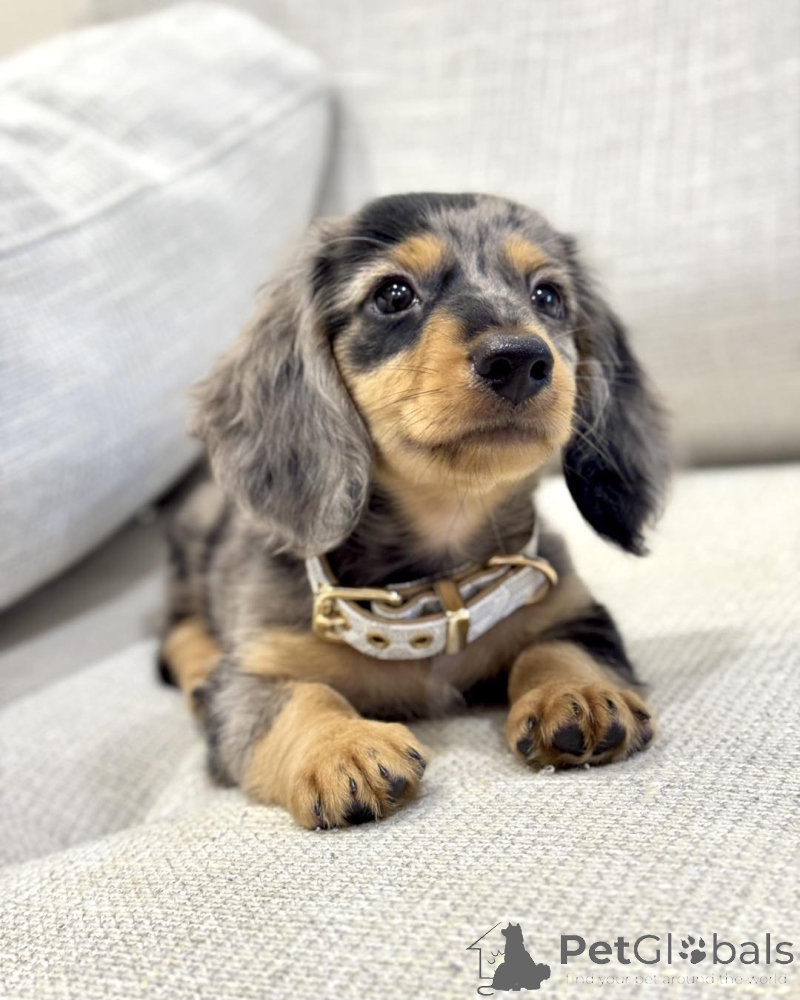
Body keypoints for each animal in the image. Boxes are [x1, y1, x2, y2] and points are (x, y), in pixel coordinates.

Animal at [159, 192, 669, 830]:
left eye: (548, 296)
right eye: (394, 294)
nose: (518, 358)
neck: (435, 587)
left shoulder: (572, 610)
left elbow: (554, 647)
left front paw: (575, 693)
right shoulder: (256, 673)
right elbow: (303, 697)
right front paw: (341, 745)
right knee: (176, 632)